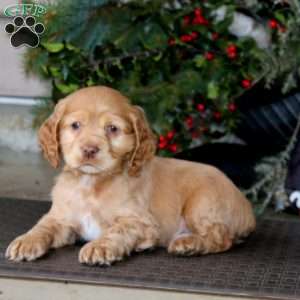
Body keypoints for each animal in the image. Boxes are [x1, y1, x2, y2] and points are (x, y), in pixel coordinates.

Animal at [5, 85, 255, 264]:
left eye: (112, 129)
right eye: (75, 125)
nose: (89, 150)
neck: (91, 182)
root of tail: (248, 211)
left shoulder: (142, 223)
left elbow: (117, 230)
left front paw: (99, 246)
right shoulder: (61, 218)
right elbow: (43, 226)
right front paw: (25, 241)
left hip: (202, 201)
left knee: (221, 237)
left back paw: (190, 244)